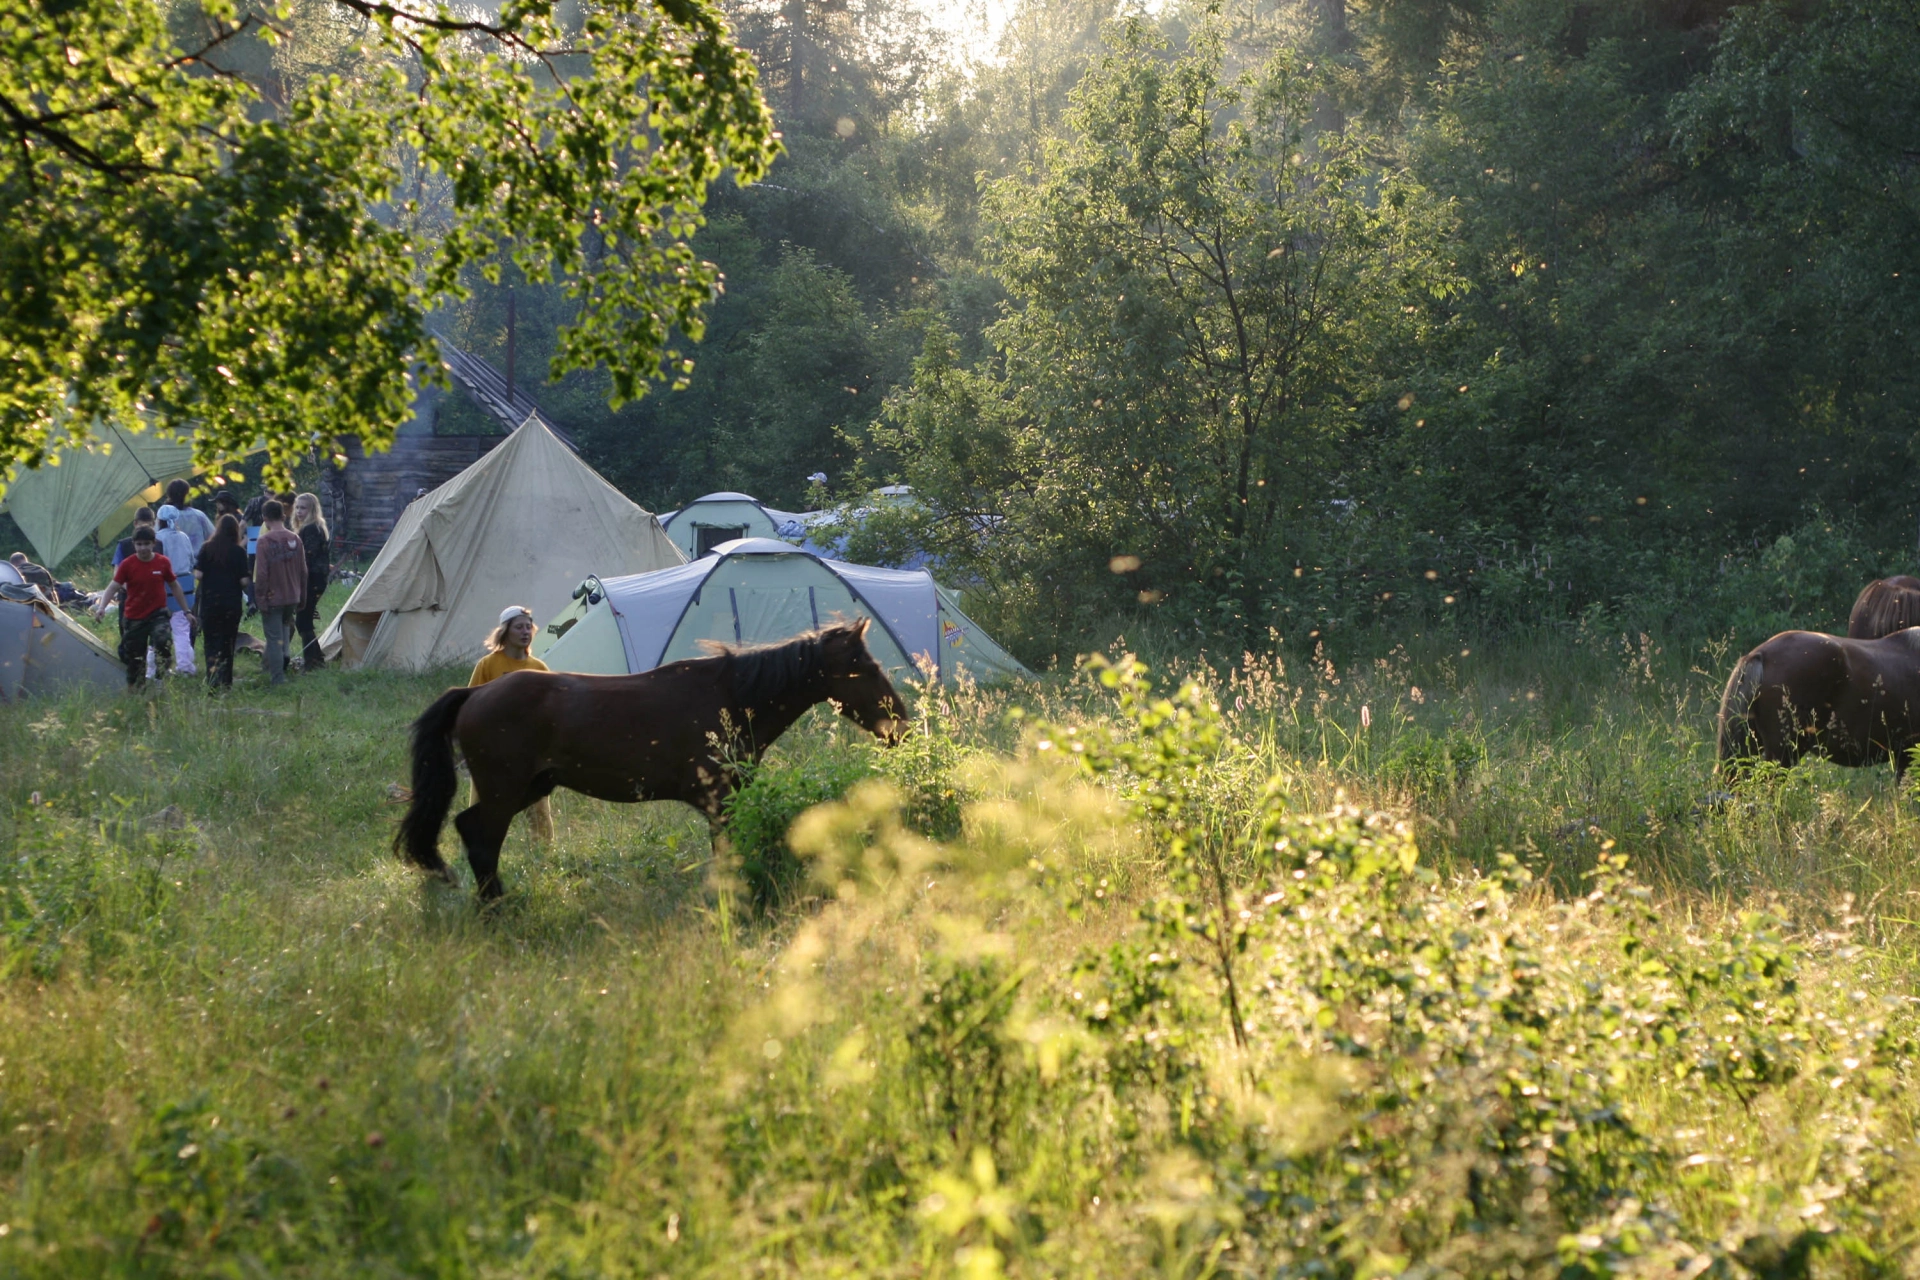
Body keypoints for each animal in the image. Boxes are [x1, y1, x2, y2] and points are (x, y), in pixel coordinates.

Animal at [393, 621, 902, 901]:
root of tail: (474, 693)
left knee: (468, 828)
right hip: (506, 792)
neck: (732, 696)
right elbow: (726, 853)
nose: (899, 723)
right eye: (865, 667)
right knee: (482, 840)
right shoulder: (719, 800)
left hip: (529, 788)